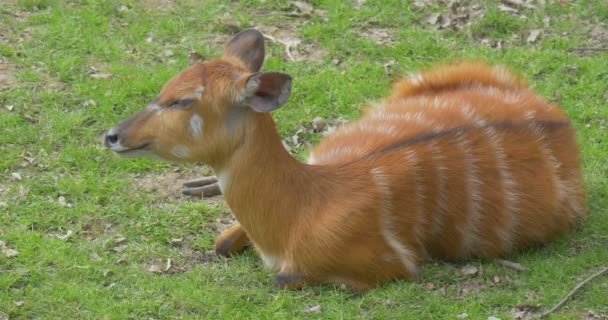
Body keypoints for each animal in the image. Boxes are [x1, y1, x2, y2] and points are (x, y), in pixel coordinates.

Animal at [104, 28, 584, 292]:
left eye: (182, 100)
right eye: (164, 88)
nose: (112, 135)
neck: (302, 209)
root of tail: (557, 118)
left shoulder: (391, 267)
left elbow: (282, 277)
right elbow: (221, 243)